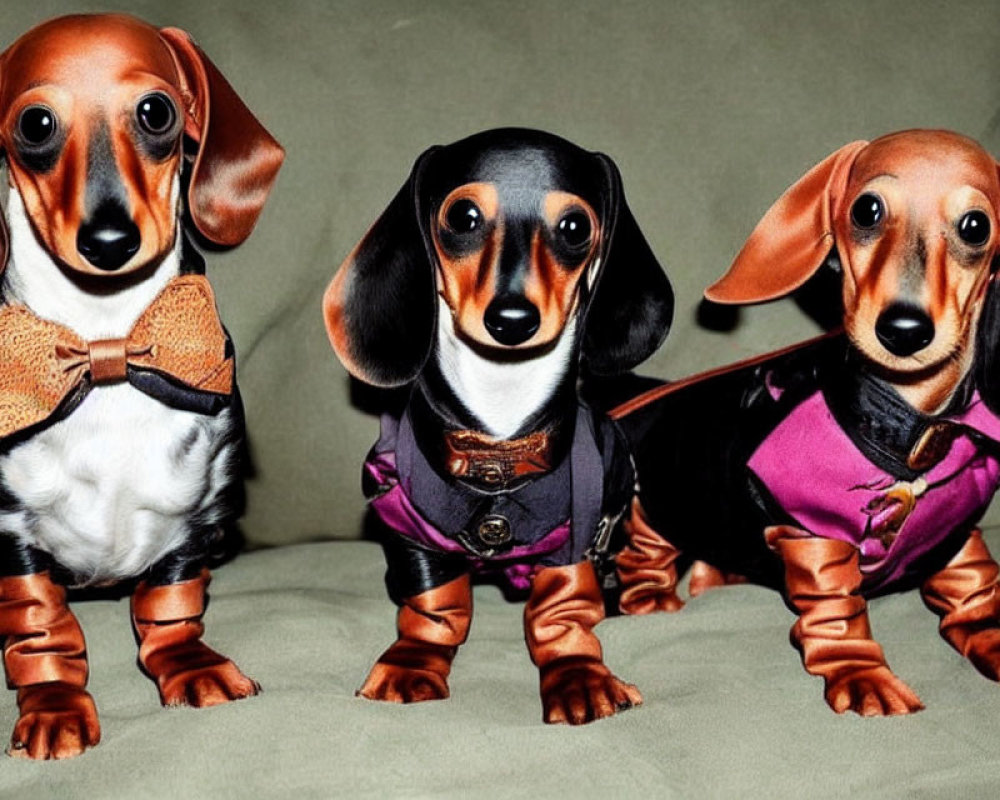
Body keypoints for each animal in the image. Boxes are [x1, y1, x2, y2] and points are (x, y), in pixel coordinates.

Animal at [0, 15, 284, 760]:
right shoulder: (11, 534)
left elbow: (170, 604)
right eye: (35, 124)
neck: (107, 345)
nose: (108, 240)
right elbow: (40, 626)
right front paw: (54, 704)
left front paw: (188, 666)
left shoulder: (196, 518)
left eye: (156, 112)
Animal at [324, 130, 676, 724]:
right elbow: (435, 607)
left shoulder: (574, 539)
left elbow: (559, 612)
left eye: (575, 228)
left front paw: (578, 674)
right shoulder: (410, 526)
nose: (512, 321)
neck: (500, 435)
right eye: (463, 217)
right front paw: (411, 664)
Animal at [612, 128, 1000, 716]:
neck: (907, 436)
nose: (903, 330)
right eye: (866, 210)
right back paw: (656, 600)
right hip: (653, 513)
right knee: (646, 562)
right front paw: (863, 674)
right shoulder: (812, 538)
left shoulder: (957, 536)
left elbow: (974, 592)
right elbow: (837, 613)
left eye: (976, 226)